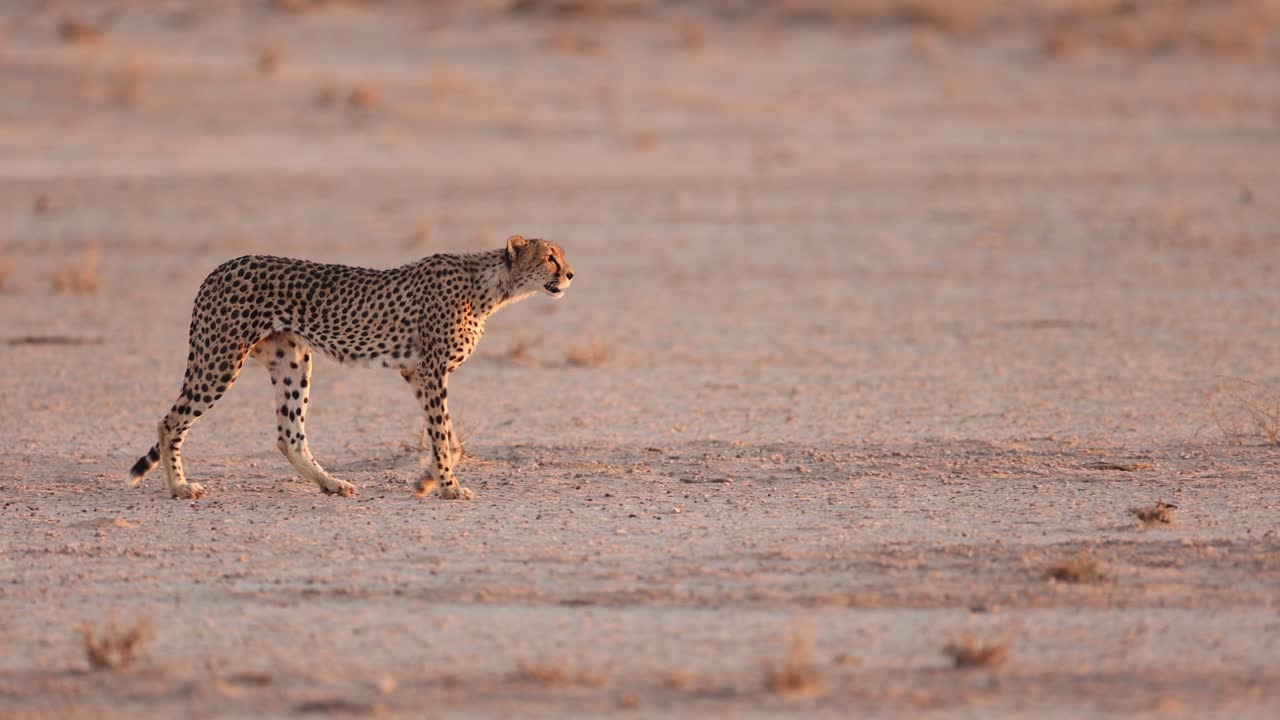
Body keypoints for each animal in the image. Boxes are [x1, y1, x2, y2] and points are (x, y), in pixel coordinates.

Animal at [126, 235, 573, 501]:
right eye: (549, 257)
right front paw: (447, 486)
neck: (490, 286)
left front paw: (427, 479)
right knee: (170, 422)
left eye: (561, 256)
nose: (569, 274)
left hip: (292, 360)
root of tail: (220, 268)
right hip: (220, 358)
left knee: (289, 436)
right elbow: (442, 435)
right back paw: (180, 487)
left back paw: (332, 483)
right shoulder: (430, 371)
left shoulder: (415, 372)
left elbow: (450, 438)